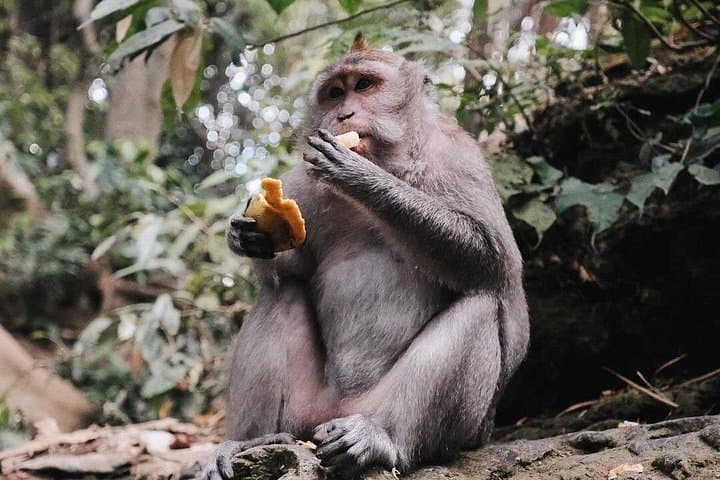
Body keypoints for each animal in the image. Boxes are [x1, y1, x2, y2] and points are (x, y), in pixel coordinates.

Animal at [203, 34, 529, 479]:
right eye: (335, 93)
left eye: (365, 85)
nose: (344, 114)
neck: (393, 159)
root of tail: (340, 410)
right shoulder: (301, 182)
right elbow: (292, 268)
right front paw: (246, 234)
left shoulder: (459, 155)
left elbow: (495, 263)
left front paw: (359, 176)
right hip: (308, 411)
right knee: (280, 294)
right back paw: (250, 442)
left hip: (421, 420)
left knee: (480, 304)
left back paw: (382, 442)